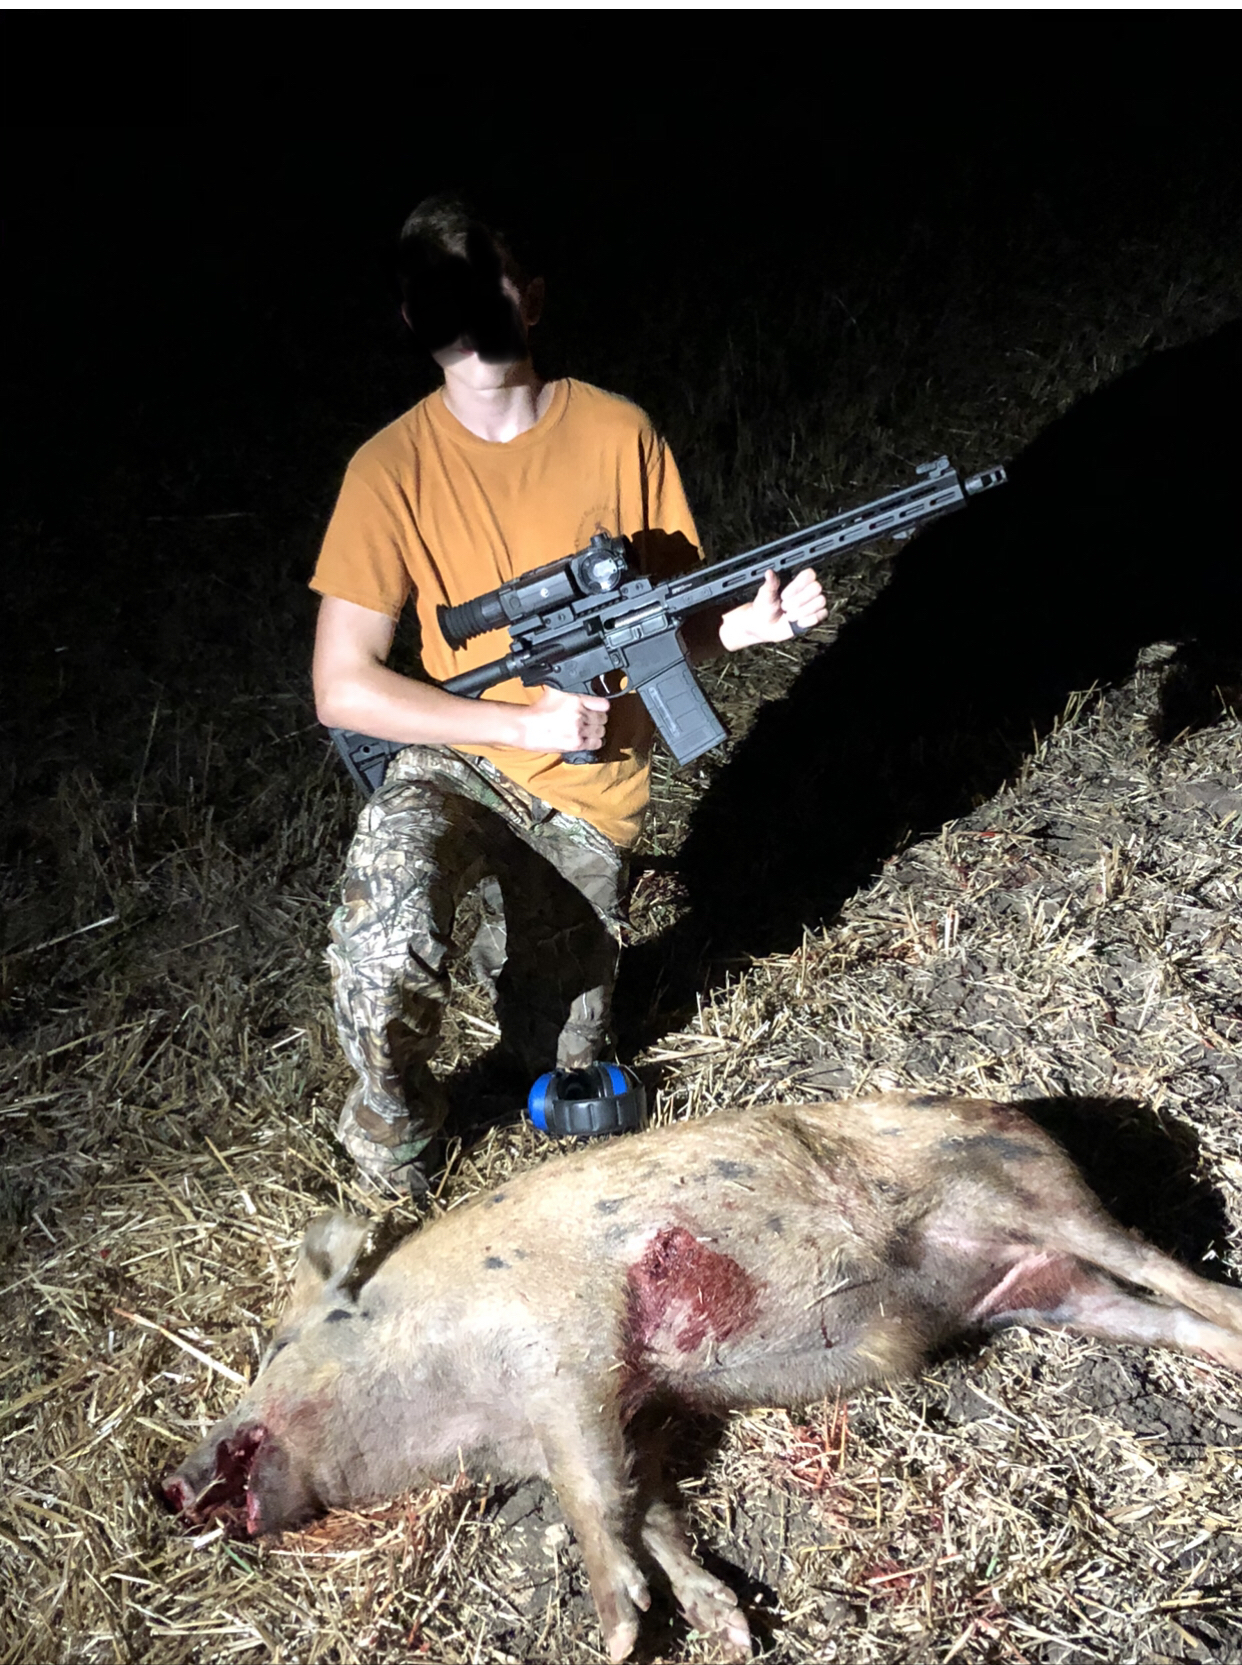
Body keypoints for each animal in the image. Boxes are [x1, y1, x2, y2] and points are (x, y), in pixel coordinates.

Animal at [164, 1093, 1242, 1662]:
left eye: (269, 1351)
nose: (167, 1484)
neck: (461, 1402)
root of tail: (1026, 1116)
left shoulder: (570, 1362)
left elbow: (593, 1505)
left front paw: (614, 1634)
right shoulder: (632, 1414)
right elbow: (651, 1511)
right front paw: (726, 1631)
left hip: (1041, 1201)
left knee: (1172, 1270)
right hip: (1048, 1297)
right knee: (1160, 1316)